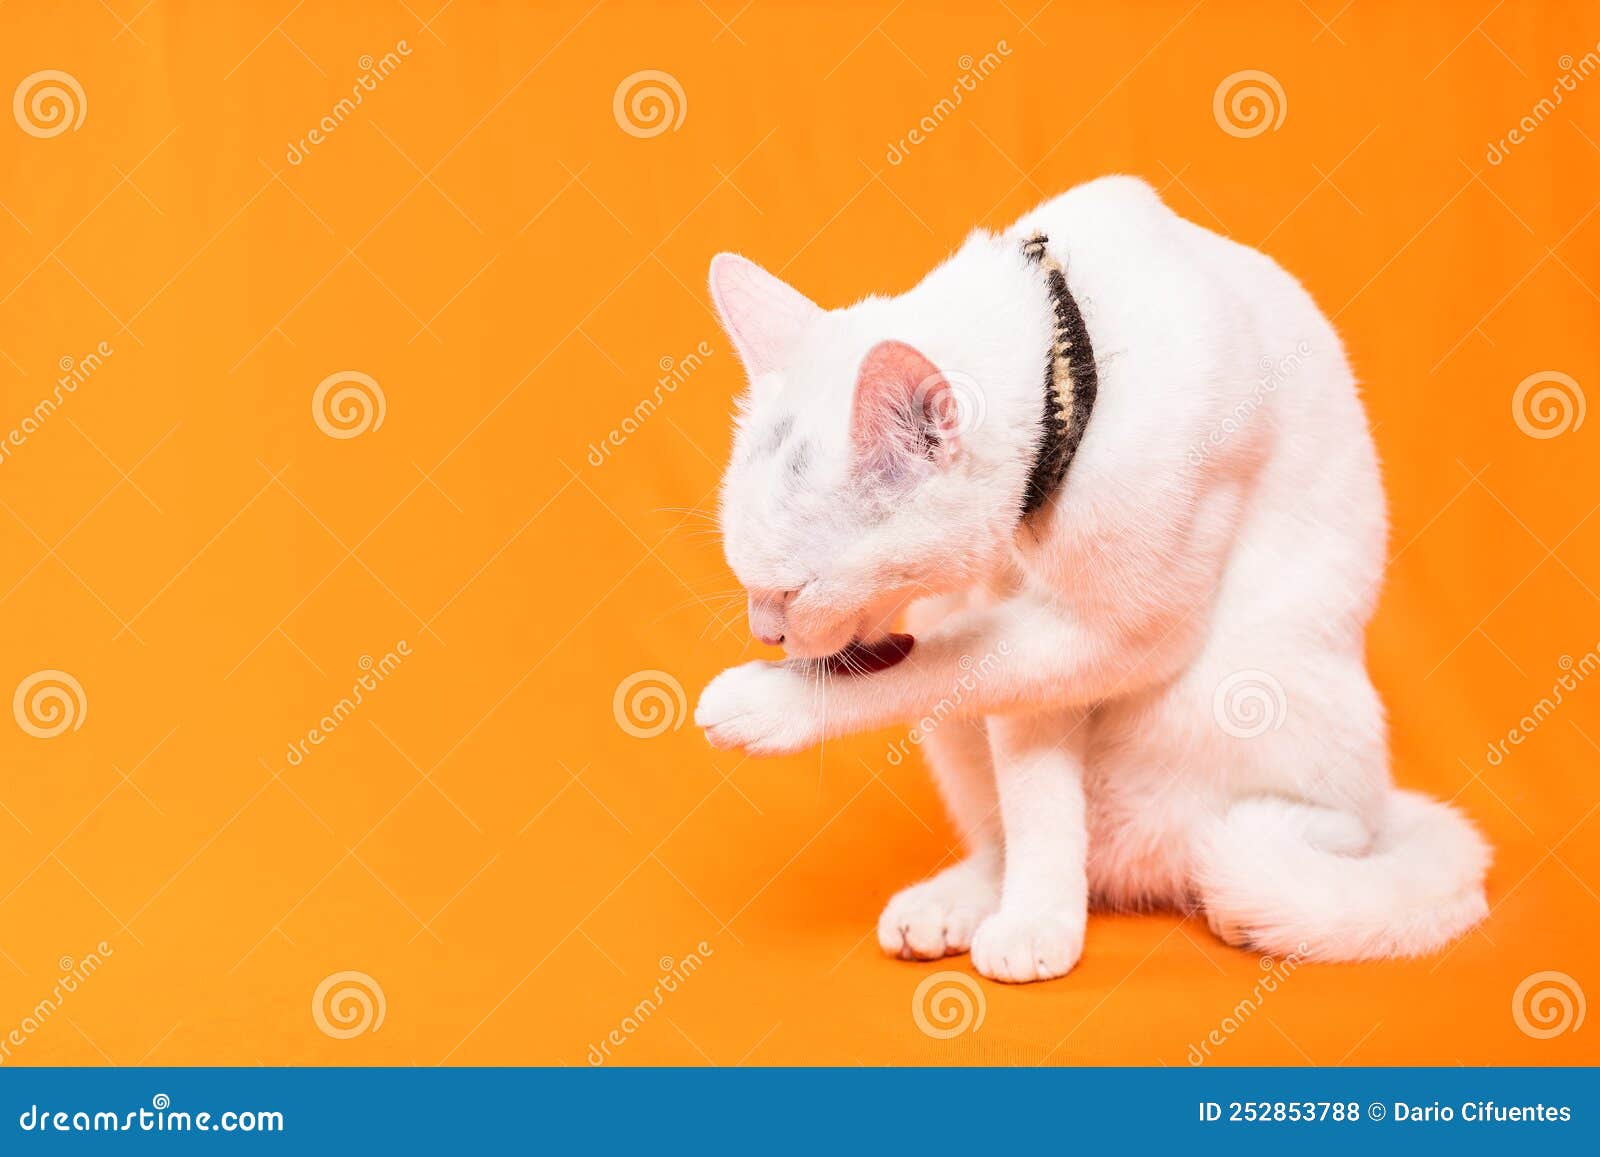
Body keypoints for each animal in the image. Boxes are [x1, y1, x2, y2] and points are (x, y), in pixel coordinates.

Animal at [694, 176, 1491, 979]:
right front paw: (1039, 917)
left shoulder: (1120, 636)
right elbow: (1026, 782)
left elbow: (940, 671)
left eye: (790, 591)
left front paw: (768, 703)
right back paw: (965, 900)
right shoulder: (1024, 647)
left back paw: (1237, 908)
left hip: (1249, 699)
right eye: (751, 585)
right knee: (1006, 822)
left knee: (1311, 839)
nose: (765, 631)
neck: (1072, 361)